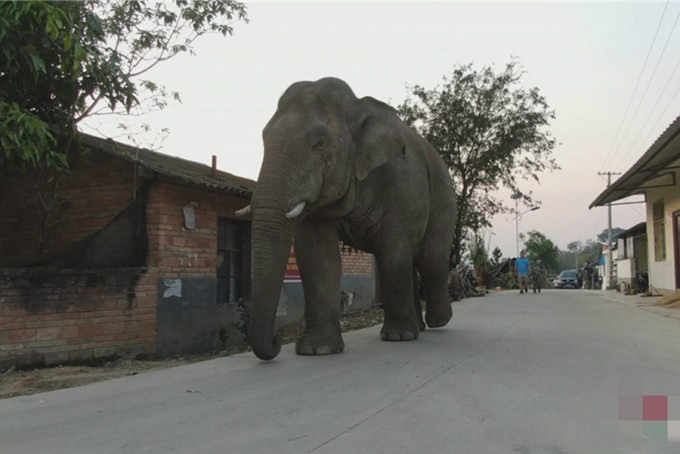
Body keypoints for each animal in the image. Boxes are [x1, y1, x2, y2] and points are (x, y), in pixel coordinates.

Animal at [239, 78, 456, 362]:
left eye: (320, 143)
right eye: (264, 139)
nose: (277, 341)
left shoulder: (400, 182)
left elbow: (393, 250)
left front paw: (398, 337)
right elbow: (317, 254)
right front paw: (316, 350)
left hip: (443, 197)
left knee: (431, 259)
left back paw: (438, 322)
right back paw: (419, 327)